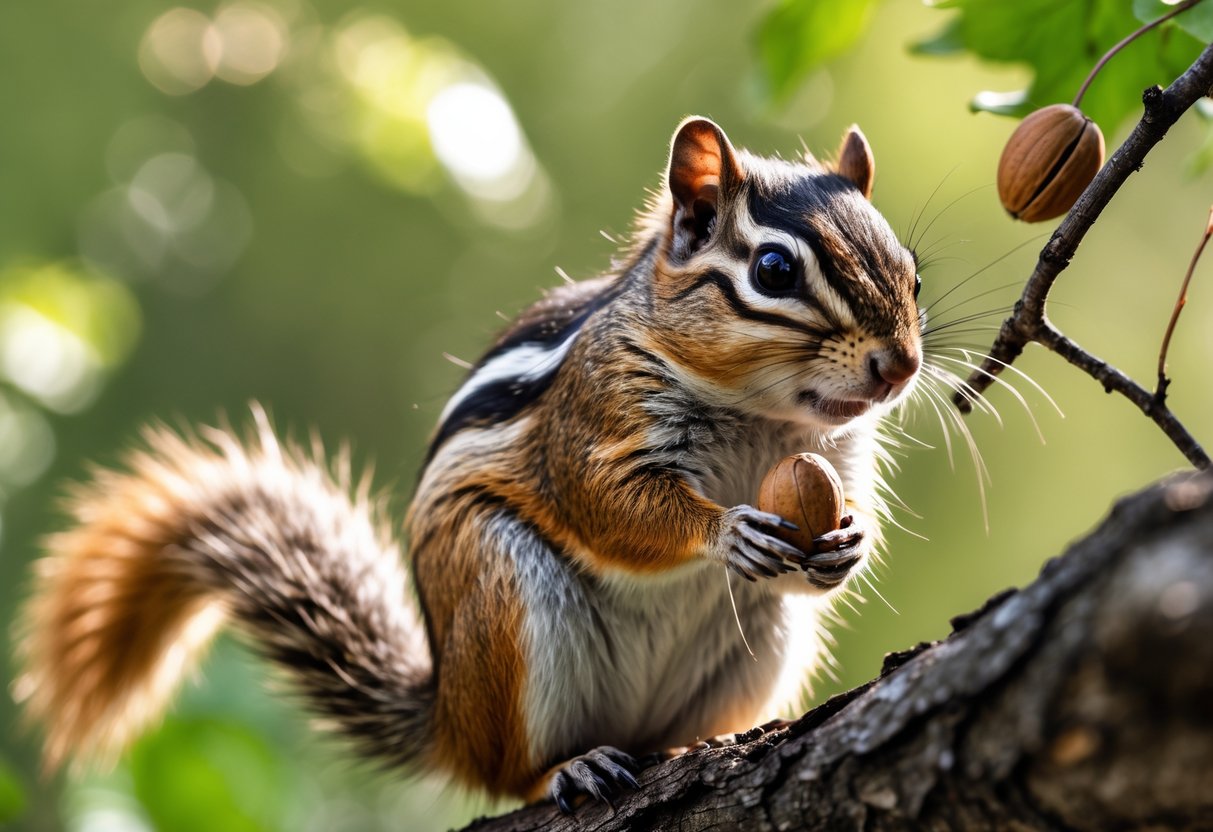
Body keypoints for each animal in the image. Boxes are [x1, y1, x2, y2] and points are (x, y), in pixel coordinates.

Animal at [15, 116, 922, 812]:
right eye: (772, 270)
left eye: (911, 272)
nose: (901, 365)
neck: (763, 416)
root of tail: (446, 718)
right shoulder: (591, 420)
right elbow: (606, 505)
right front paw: (726, 528)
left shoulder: (837, 457)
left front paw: (848, 544)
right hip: (502, 588)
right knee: (508, 775)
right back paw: (568, 767)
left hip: (759, 644)